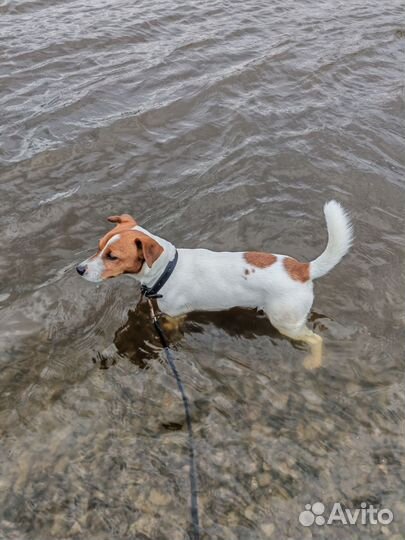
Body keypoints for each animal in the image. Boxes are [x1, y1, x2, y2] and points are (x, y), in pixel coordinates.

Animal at [77, 200, 352, 370]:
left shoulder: (175, 316)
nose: (79, 269)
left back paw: (314, 361)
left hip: (286, 323)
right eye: (99, 247)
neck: (167, 269)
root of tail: (303, 269)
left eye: (112, 256)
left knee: (316, 339)